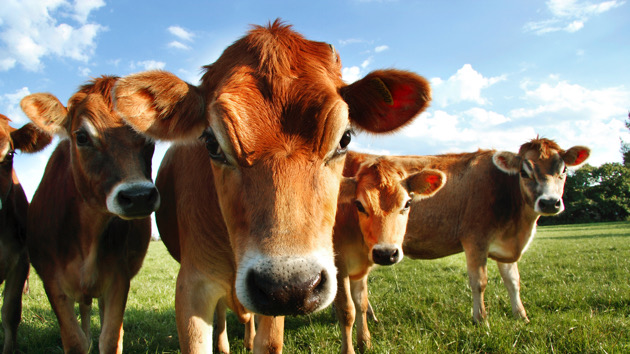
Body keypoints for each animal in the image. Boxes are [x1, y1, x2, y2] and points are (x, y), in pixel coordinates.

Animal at [21, 76, 162, 352]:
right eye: (82, 137)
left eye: (148, 135)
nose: (138, 196)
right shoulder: (51, 282)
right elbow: (74, 340)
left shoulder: (119, 279)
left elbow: (110, 338)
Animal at [380, 137, 592, 324]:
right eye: (524, 173)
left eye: (564, 170)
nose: (549, 202)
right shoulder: (475, 240)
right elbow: (479, 282)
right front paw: (481, 321)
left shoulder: (505, 245)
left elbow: (513, 281)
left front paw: (521, 317)